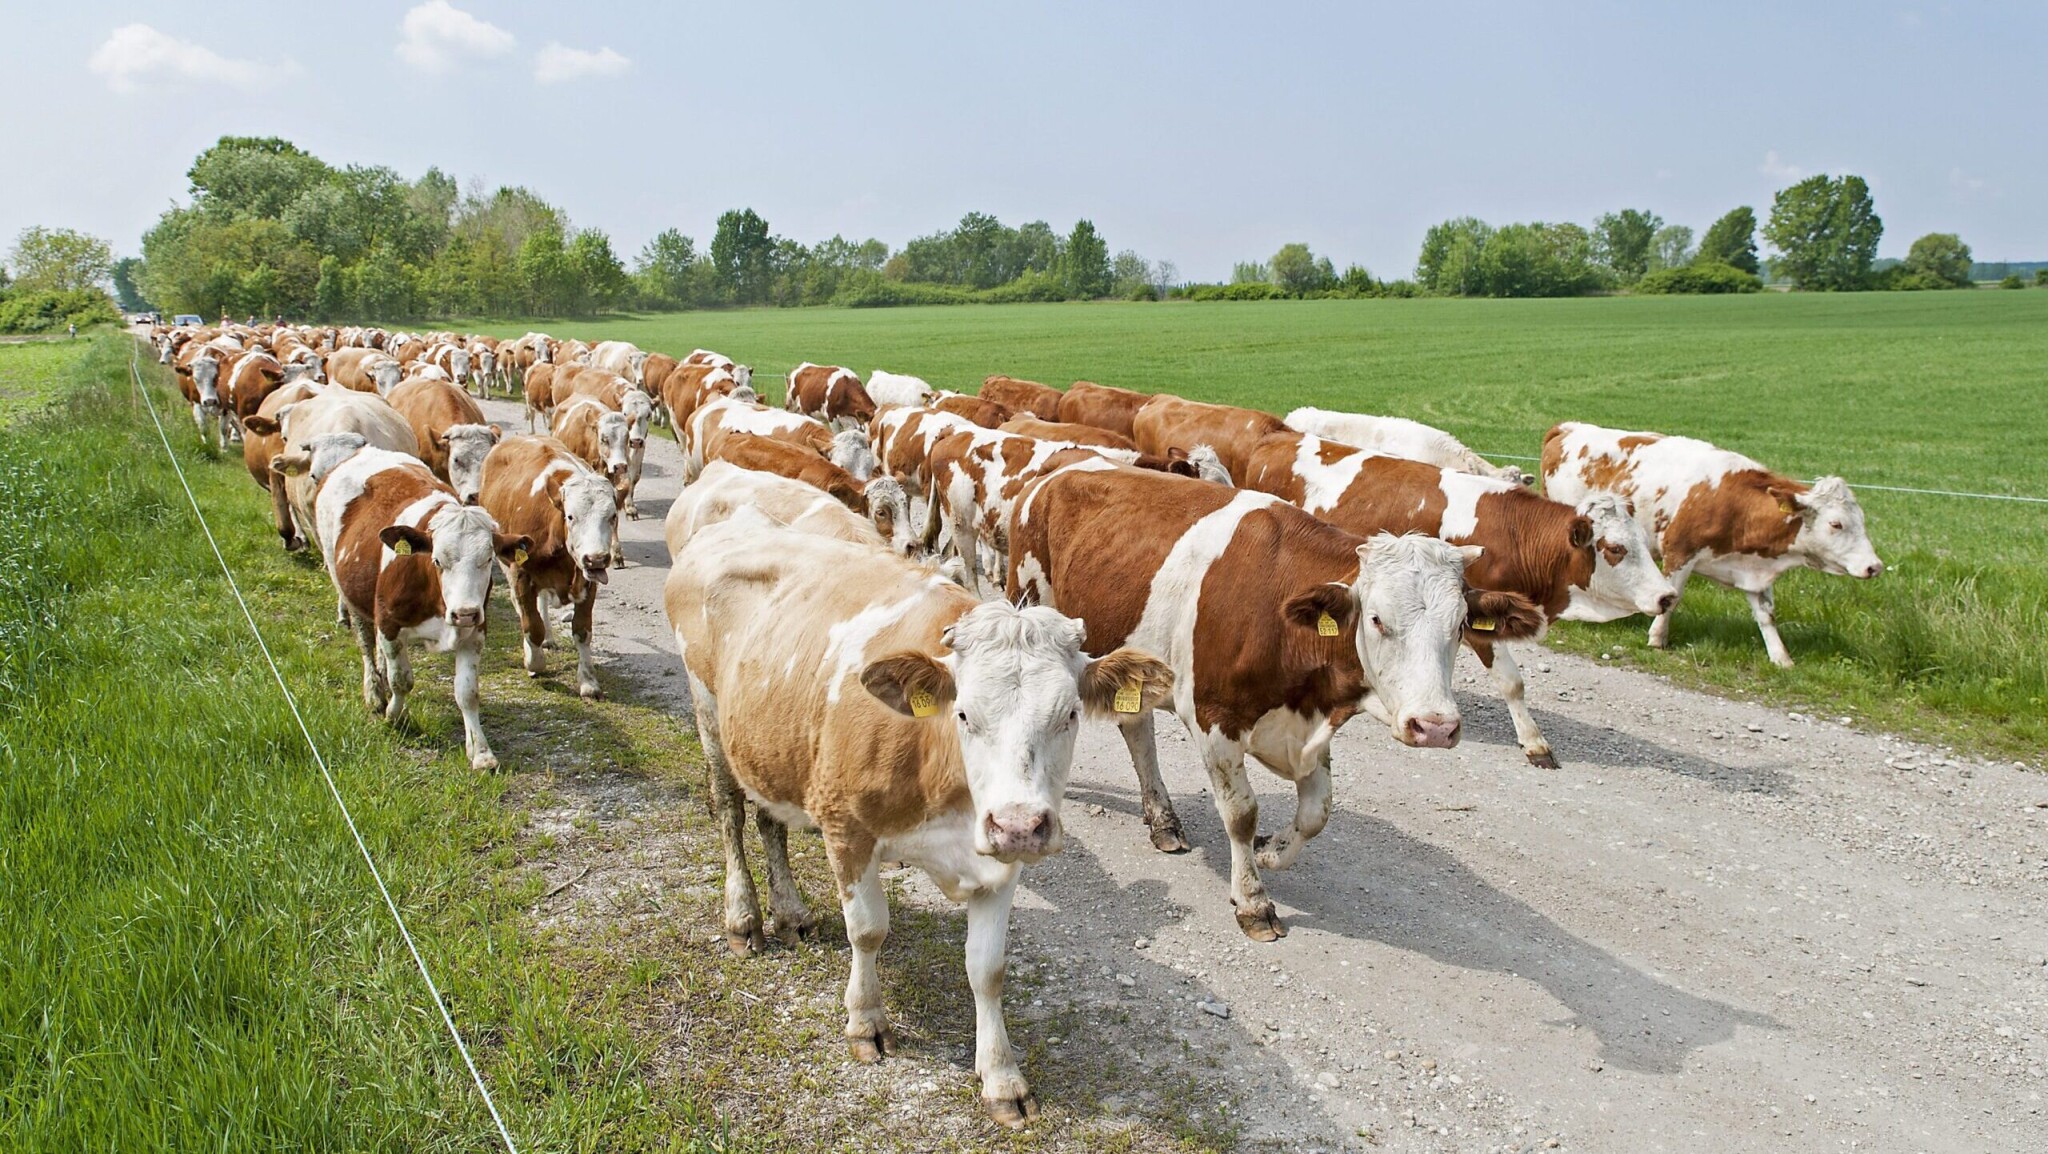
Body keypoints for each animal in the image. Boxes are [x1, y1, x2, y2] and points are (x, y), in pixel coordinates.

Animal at [276, 438, 524, 770]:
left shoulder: (475, 632)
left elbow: (468, 692)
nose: (464, 613)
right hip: (347, 587)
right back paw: (374, 692)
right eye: (437, 560)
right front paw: (395, 716)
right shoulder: (390, 623)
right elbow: (401, 679)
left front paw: (481, 753)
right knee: (366, 642)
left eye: (487, 560)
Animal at [477, 438, 614, 701]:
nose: (596, 559)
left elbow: (582, 630)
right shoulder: (521, 574)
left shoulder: (588, 582)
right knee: (523, 608)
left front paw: (588, 682)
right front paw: (534, 663)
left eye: (612, 516)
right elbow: (532, 626)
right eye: (570, 516)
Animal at [1007, 465, 1540, 942]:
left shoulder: (1312, 724)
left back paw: (1163, 819)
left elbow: (1317, 812)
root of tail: (1054, 474)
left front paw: (1271, 852)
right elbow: (1241, 814)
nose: (1435, 726)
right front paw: (1253, 900)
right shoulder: (1215, 721)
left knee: (1138, 732)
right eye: (1376, 619)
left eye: (1461, 624)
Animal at [1236, 434, 1671, 766]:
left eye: (1644, 542)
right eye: (1615, 549)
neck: (1512, 532)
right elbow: (1512, 682)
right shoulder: (1480, 621)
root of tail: (1279, 437)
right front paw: (1534, 743)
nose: (1667, 596)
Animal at [1540, 424, 1884, 668]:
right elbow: (1672, 599)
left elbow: (1767, 615)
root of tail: (1568, 427)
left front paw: (1781, 658)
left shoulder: (1755, 572)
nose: (1875, 566)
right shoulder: (1680, 551)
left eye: (1862, 520)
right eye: (1836, 524)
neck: (1734, 503)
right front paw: (1656, 639)